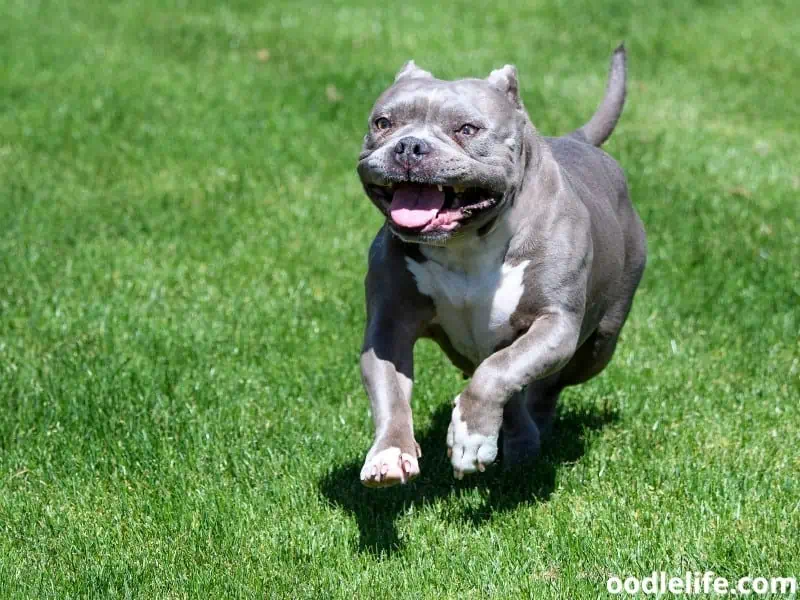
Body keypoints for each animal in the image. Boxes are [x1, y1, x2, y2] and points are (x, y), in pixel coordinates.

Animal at [354, 47, 644, 488]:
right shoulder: (387, 328)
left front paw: (471, 436)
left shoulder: (555, 323)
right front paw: (389, 453)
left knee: (541, 387)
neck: (465, 245)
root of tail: (577, 140)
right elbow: (390, 391)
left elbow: (499, 372)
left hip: (598, 345)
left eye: (467, 129)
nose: (409, 147)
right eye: (383, 123)